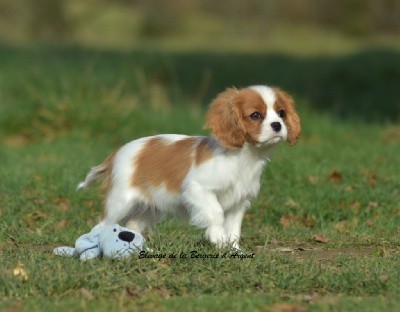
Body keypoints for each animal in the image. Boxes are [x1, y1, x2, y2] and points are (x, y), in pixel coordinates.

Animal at [78, 85, 300, 249]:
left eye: (281, 113)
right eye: (255, 115)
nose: (277, 125)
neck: (245, 157)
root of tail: (118, 152)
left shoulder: (239, 203)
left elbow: (234, 229)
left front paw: (233, 250)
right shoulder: (198, 189)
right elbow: (216, 214)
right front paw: (218, 239)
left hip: (151, 207)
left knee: (132, 224)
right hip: (120, 201)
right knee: (103, 224)